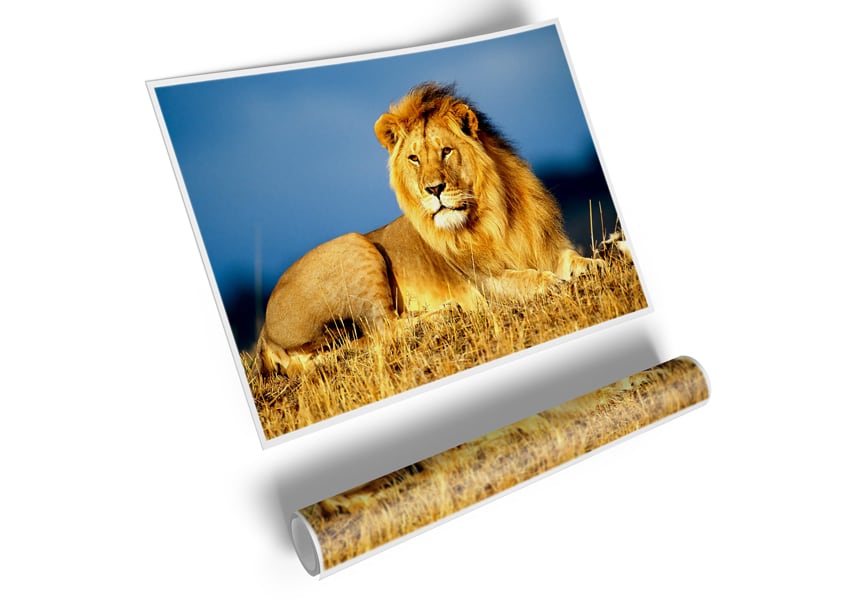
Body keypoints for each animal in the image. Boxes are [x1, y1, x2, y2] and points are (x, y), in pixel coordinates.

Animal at [257, 82, 601, 374]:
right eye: (414, 159)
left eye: (446, 151)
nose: (433, 189)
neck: (496, 215)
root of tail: (264, 334)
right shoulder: (483, 282)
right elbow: (525, 279)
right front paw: (550, 283)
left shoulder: (548, 247)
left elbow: (572, 259)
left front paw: (595, 263)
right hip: (355, 246)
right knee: (383, 329)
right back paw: (444, 313)